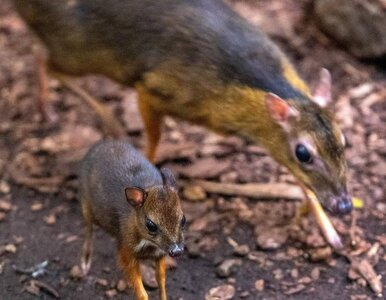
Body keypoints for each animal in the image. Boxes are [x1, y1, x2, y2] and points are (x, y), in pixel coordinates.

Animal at [79, 139, 185, 298]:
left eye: (183, 220)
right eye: (151, 225)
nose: (177, 250)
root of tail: (102, 142)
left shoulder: (160, 255)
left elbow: (161, 280)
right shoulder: (126, 253)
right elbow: (141, 293)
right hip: (86, 203)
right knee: (88, 228)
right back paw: (85, 263)